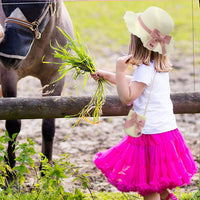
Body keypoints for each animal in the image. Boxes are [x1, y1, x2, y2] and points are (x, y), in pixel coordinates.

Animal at [0, 0, 74, 174]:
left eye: (42, 4)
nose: (9, 55)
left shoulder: (55, 78)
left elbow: (48, 126)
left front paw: (45, 169)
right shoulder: (8, 76)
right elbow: (12, 125)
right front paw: (10, 169)